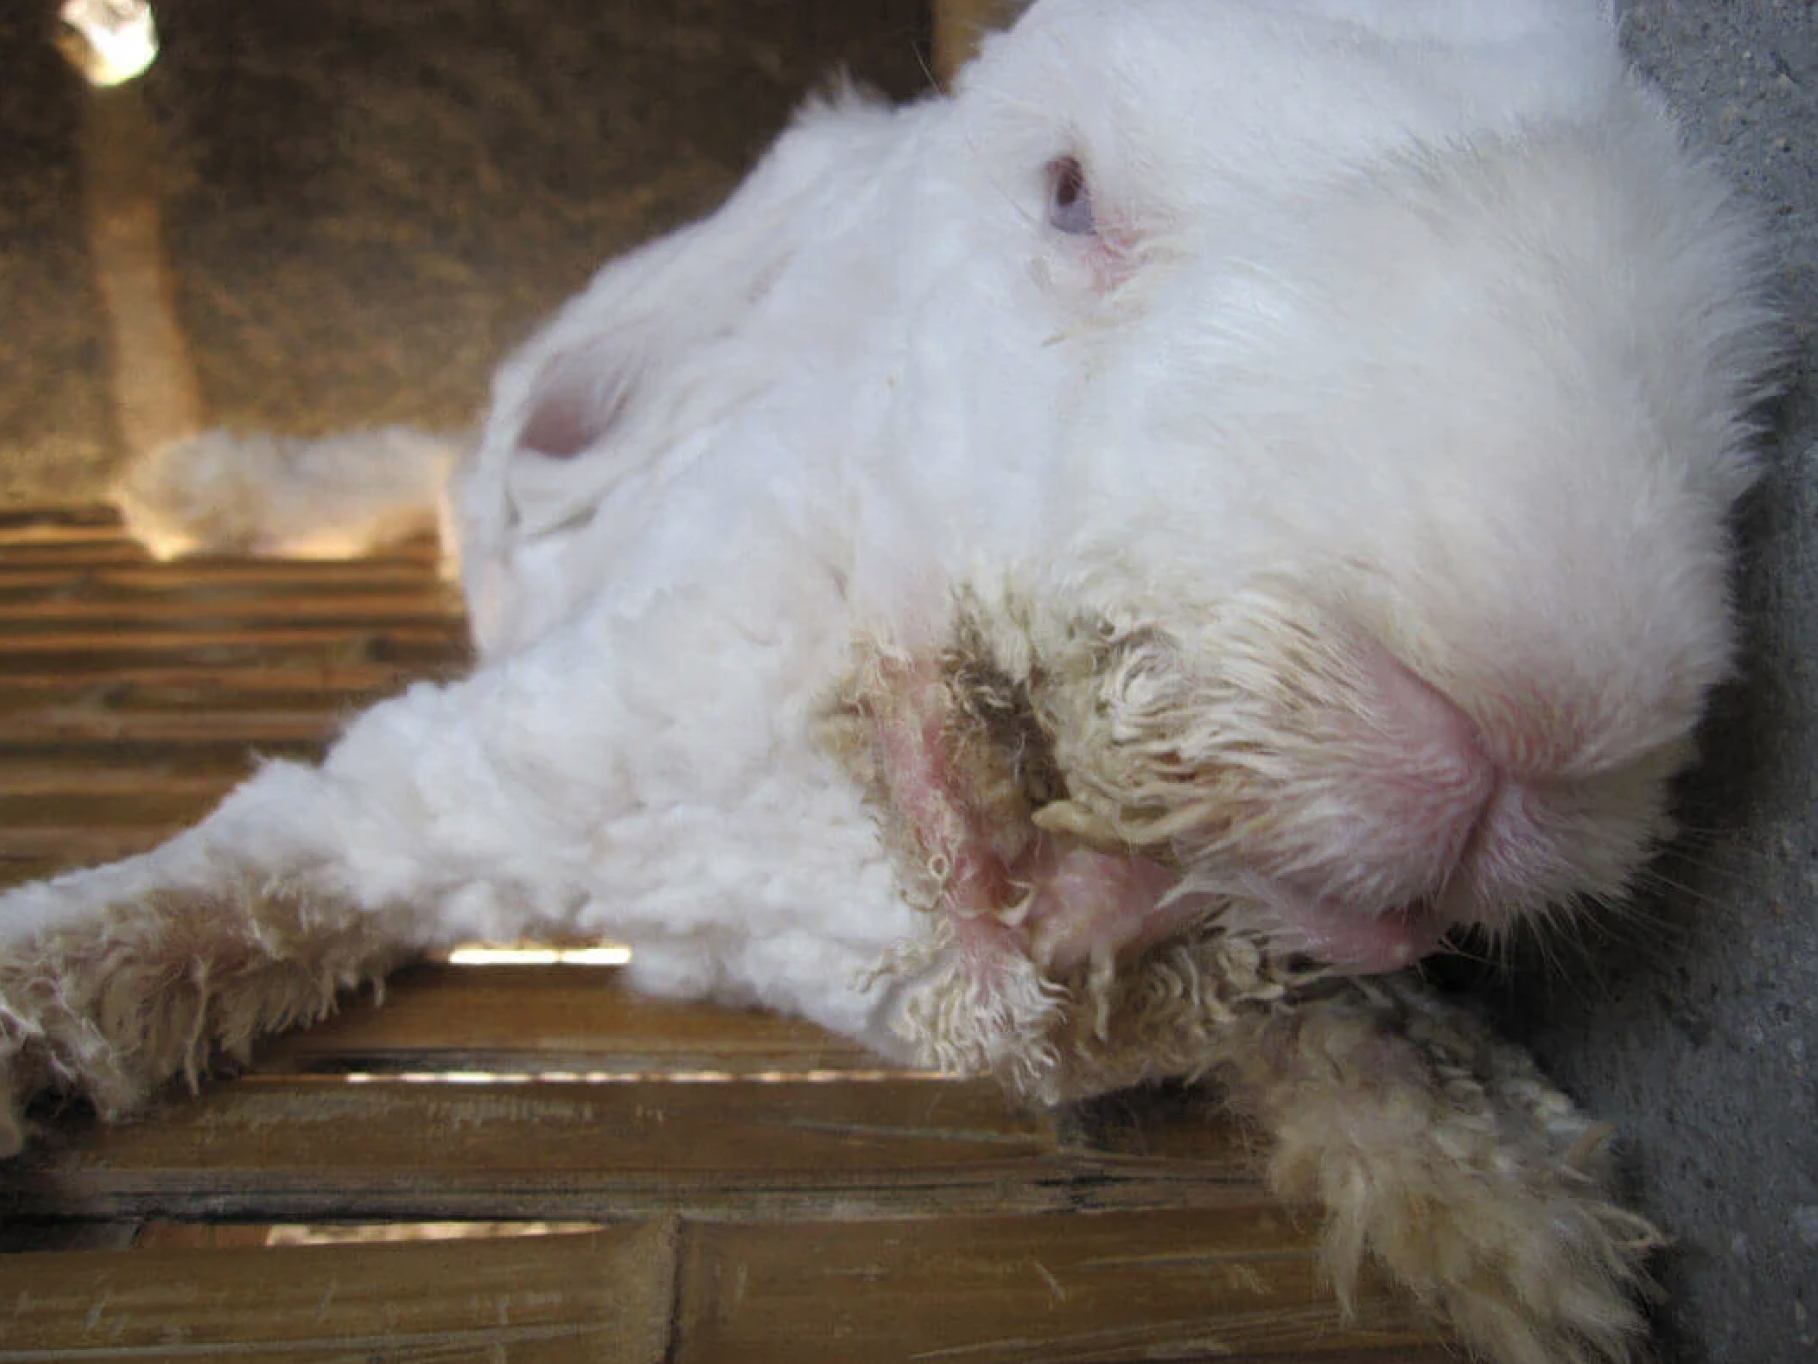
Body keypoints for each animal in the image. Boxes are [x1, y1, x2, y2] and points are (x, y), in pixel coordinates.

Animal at [9, 1, 1777, 1360]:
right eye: (1065, 193)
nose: (1540, 721)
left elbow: (1340, 1026)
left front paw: (1524, 1240)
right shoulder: (492, 774)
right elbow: (205, 895)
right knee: (423, 462)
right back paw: (201, 490)